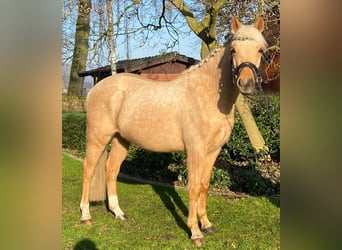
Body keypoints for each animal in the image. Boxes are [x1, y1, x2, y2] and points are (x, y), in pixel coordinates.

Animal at [79, 16, 268, 246]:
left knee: (111, 169)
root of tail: (94, 90)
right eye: (233, 50)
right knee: (88, 169)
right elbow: (194, 187)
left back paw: (118, 213)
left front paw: (207, 224)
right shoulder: (195, 151)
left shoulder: (213, 151)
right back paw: (86, 215)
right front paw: (195, 232)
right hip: (97, 138)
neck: (206, 96)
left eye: (260, 50)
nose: (246, 83)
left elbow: (204, 185)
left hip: (120, 140)